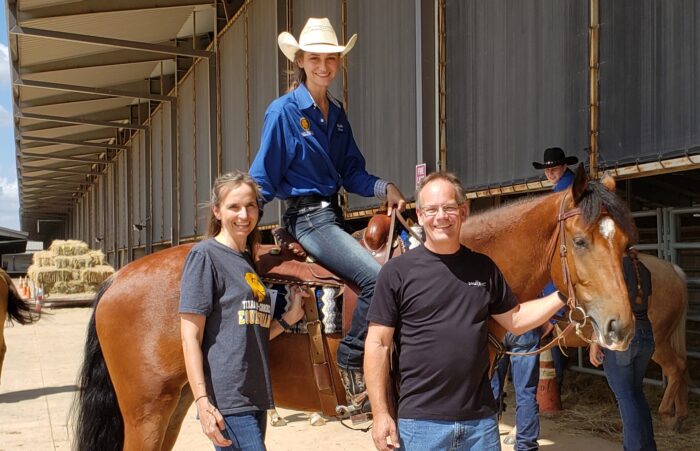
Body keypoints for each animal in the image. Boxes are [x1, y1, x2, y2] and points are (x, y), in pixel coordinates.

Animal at [74, 168, 636, 450]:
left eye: (627, 243)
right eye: (580, 241)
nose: (620, 327)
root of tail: (117, 280)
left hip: (179, 404)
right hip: (147, 411)